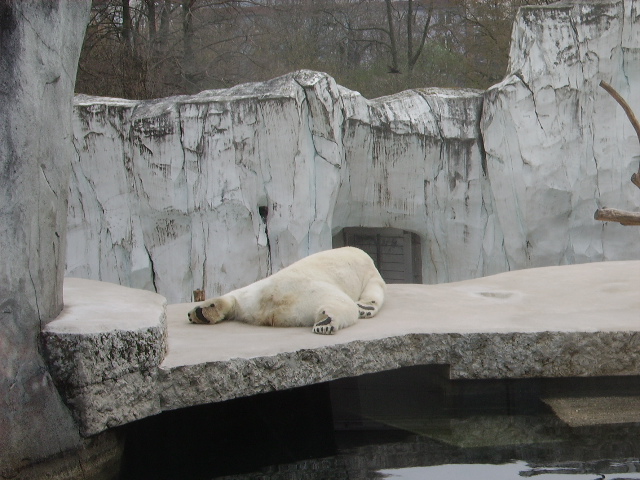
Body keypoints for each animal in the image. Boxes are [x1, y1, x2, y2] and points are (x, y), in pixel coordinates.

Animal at [185, 248, 384, 334]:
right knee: (340, 302)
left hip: (253, 292)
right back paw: (325, 322)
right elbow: (375, 290)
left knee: (235, 297)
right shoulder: (369, 270)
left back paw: (203, 312)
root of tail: (270, 305)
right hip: (311, 291)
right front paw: (365, 309)